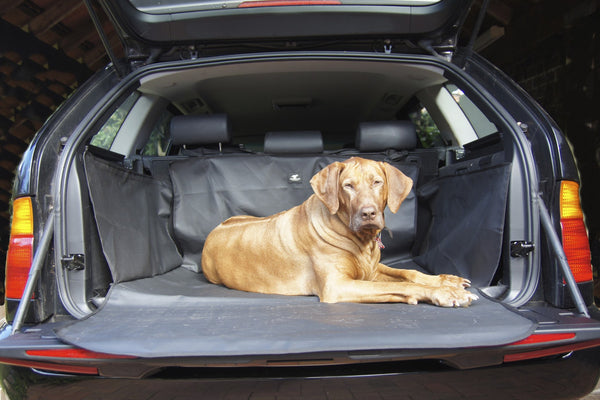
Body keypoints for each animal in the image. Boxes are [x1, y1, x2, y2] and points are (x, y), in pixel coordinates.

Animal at [202, 156, 478, 306]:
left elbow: (408, 273)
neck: (359, 240)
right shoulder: (339, 285)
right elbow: (405, 286)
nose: (368, 214)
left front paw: (448, 281)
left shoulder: (372, 271)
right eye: (348, 186)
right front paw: (444, 292)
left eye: (377, 182)